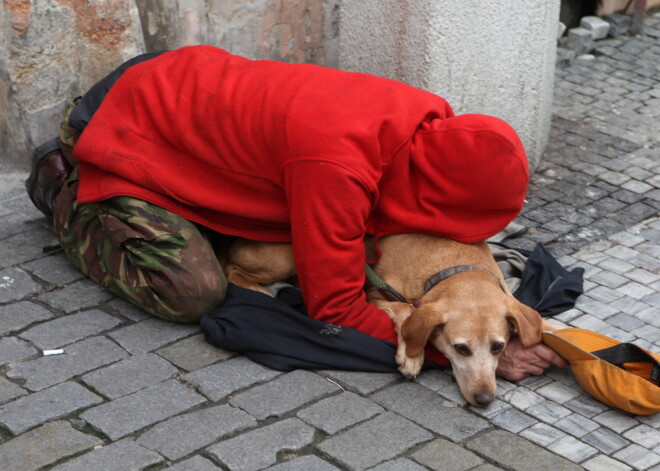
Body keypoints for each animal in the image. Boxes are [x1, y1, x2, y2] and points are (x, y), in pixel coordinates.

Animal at [219, 234, 560, 408]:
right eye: (460, 349)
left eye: (498, 347)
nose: (485, 400)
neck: (453, 266)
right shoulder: (373, 294)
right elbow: (407, 311)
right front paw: (411, 354)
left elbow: (541, 322)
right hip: (285, 256)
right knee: (232, 271)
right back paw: (263, 290)